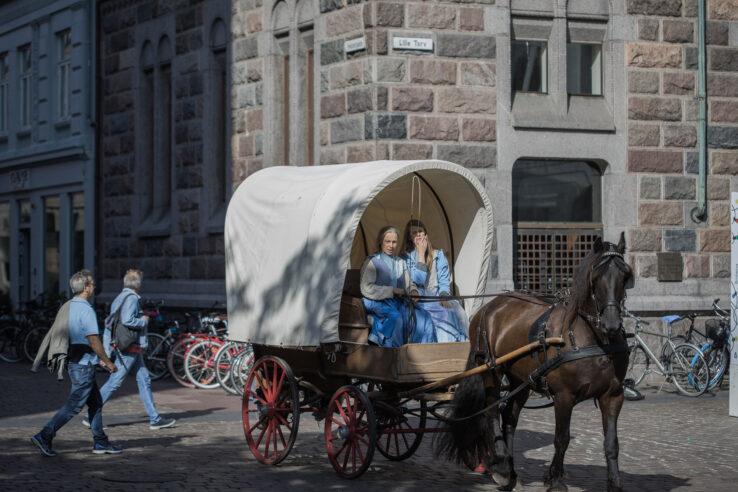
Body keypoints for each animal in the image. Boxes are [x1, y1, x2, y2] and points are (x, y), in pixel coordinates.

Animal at [436, 234, 632, 492]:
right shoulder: (564, 396)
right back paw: (501, 466)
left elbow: (612, 443)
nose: (611, 324)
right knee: (492, 412)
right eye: (596, 277)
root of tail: (488, 307)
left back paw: (512, 472)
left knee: (509, 417)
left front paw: (614, 484)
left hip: (521, 380)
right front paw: (556, 480)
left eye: (625, 275)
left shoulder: (613, 395)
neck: (595, 340)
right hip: (491, 370)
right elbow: (561, 439)